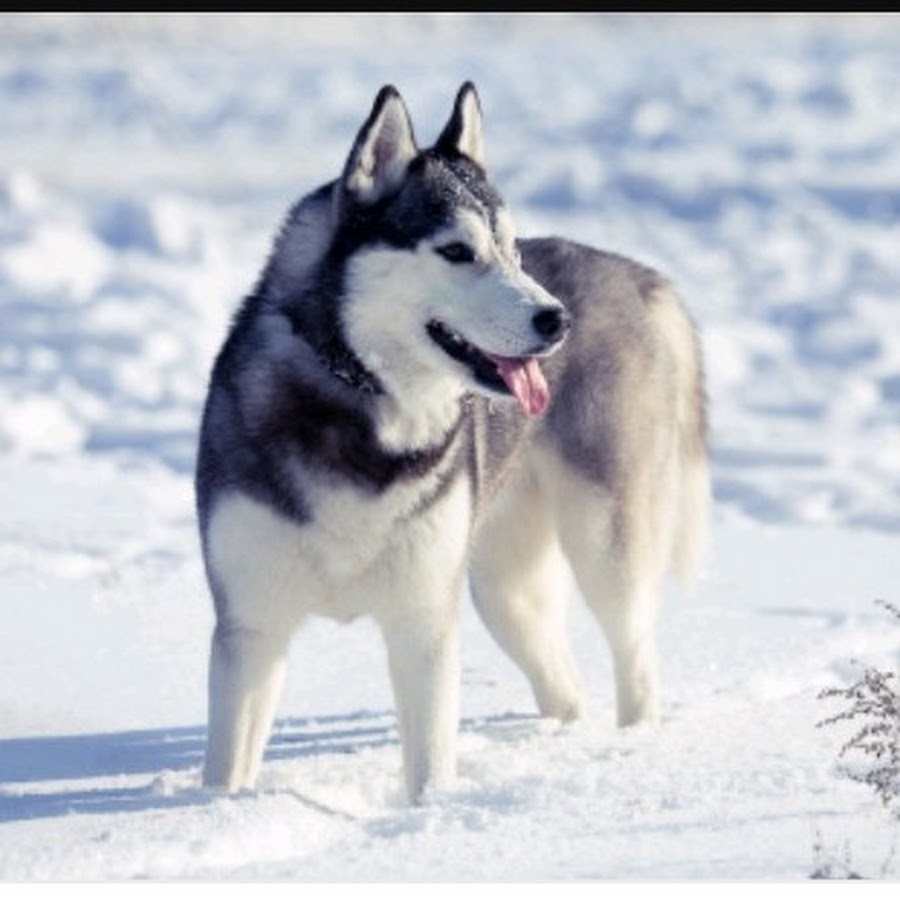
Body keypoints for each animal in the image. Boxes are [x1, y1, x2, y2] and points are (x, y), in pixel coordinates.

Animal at [197, 82, 712, 800]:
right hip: (503, 588)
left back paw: (632, 748)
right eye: (457, 251)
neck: (364, 398)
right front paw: (218, 811)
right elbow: (227, 770)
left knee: (635, 656)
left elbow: (430, 762)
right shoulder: (251, 626)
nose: (557, 320)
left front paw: (428, 814)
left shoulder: (424, 624)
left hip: (603, 543)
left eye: (514, 251)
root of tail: (639, 278)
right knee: (564, 682)